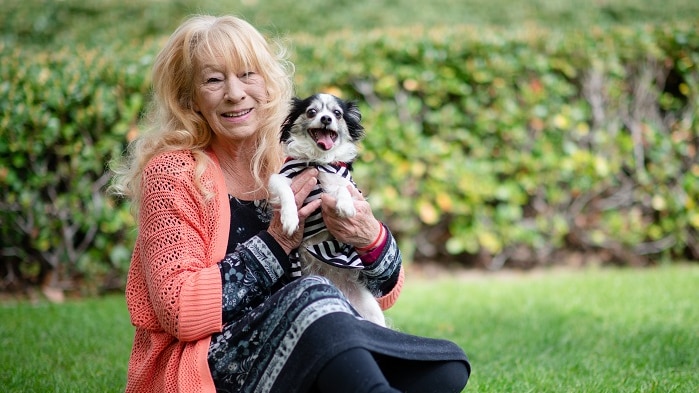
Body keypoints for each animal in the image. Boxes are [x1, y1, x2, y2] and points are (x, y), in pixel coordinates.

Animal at [270, 92, 388, 324]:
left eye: (337, 113)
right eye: (311, 112)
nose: (326, 118)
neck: (318, 161)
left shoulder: (344, 184)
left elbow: (343, 188)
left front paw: (345, 206)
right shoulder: (278, 178)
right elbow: (285, 190)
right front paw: (289, 218)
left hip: (372, 311)